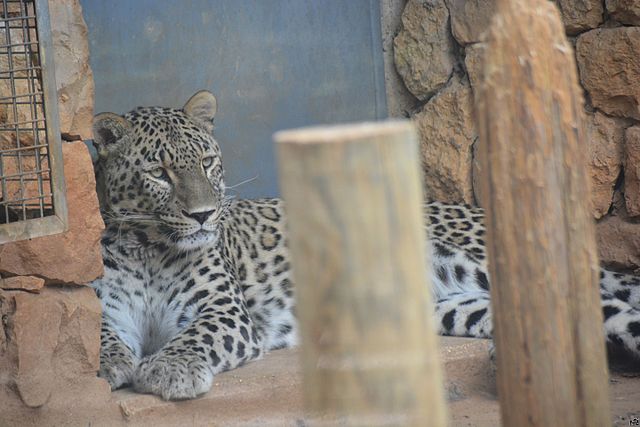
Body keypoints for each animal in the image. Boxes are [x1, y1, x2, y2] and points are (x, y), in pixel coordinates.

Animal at [91, 90, 640, 402]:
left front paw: (166, 370)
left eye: (206, 162)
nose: (204, 214)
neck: (149, 248)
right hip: (459, 306)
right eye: (159, 172)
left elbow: (194, 336)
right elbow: (100, 333)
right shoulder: (111, 306)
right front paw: (106, 365)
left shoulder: (224, 311)